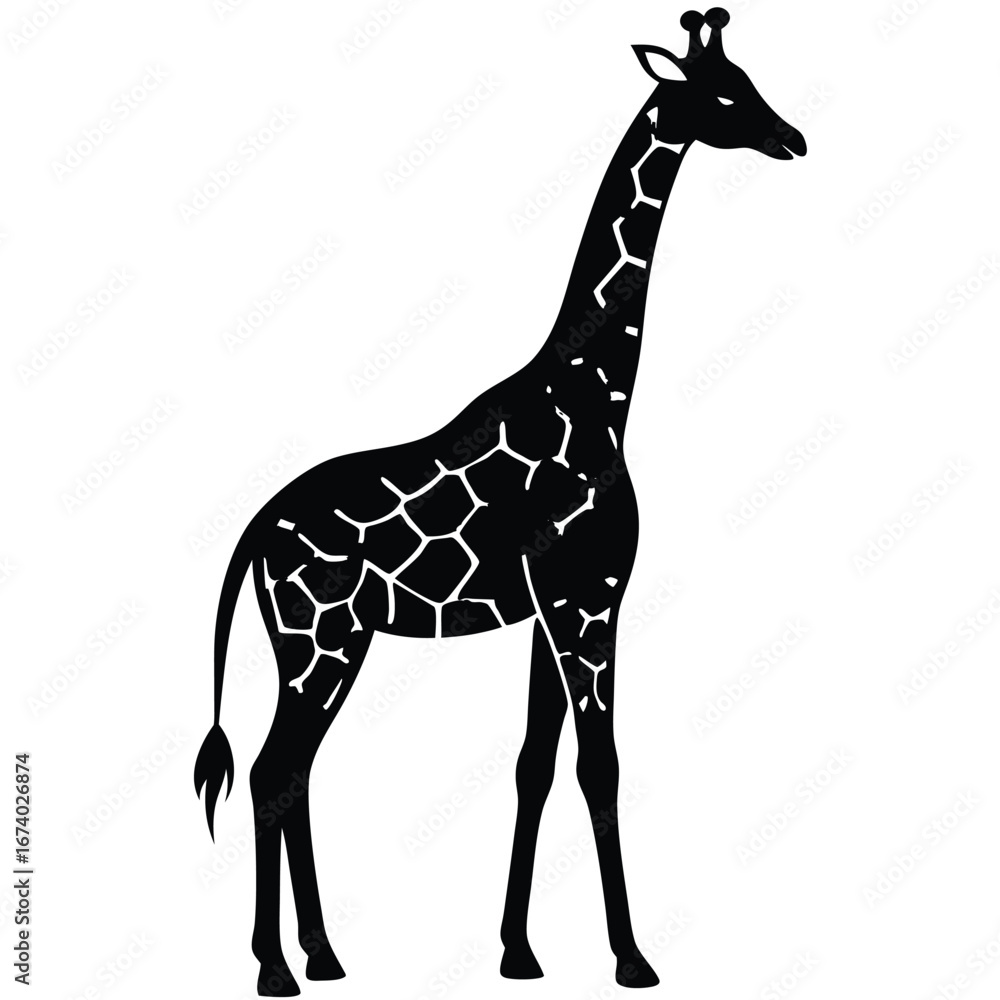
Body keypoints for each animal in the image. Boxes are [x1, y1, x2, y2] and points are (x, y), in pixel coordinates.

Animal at [195, 8, 806, 995]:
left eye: (749, 82)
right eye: (722, 94)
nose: (793, 138)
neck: (599, 394)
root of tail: (252, 532)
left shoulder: (550, 609)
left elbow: (534, 764)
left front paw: (519, 952)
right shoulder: (588, 598)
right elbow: (600, 764)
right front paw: (632, 957)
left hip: (323, 642)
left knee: (291, 772)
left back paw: (322, 955)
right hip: (321, 637)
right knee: (270, 769)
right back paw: (278, 969)